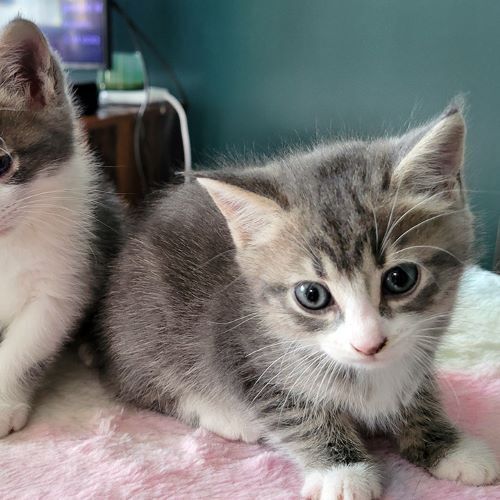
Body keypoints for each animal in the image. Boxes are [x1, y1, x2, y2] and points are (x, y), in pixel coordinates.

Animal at [95, 103, 498, 498]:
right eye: (312, 295)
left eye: (401, 279)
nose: (369, 344)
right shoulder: (244, 354)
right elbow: (297, 414)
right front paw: (343, 471)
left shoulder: (418, 348)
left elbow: (418, 395)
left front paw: (450, 446)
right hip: (147, 327)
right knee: (139, 386)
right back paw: (226, 417)